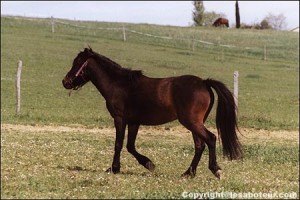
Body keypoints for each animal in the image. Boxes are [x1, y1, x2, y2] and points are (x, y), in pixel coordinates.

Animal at [62, 47, 243, 179]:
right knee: (200, 145)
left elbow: (118, 144)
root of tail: (204, 83)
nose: (65, 82)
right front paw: (148, 164)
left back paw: (215, 170)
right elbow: (130, 146)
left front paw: (114, 168)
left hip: (191, 122)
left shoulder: (120, 119)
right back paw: (188, 173)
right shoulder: (133, 122)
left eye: (77, 63)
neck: (119, 85)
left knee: (210, 139)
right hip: (195, 123)